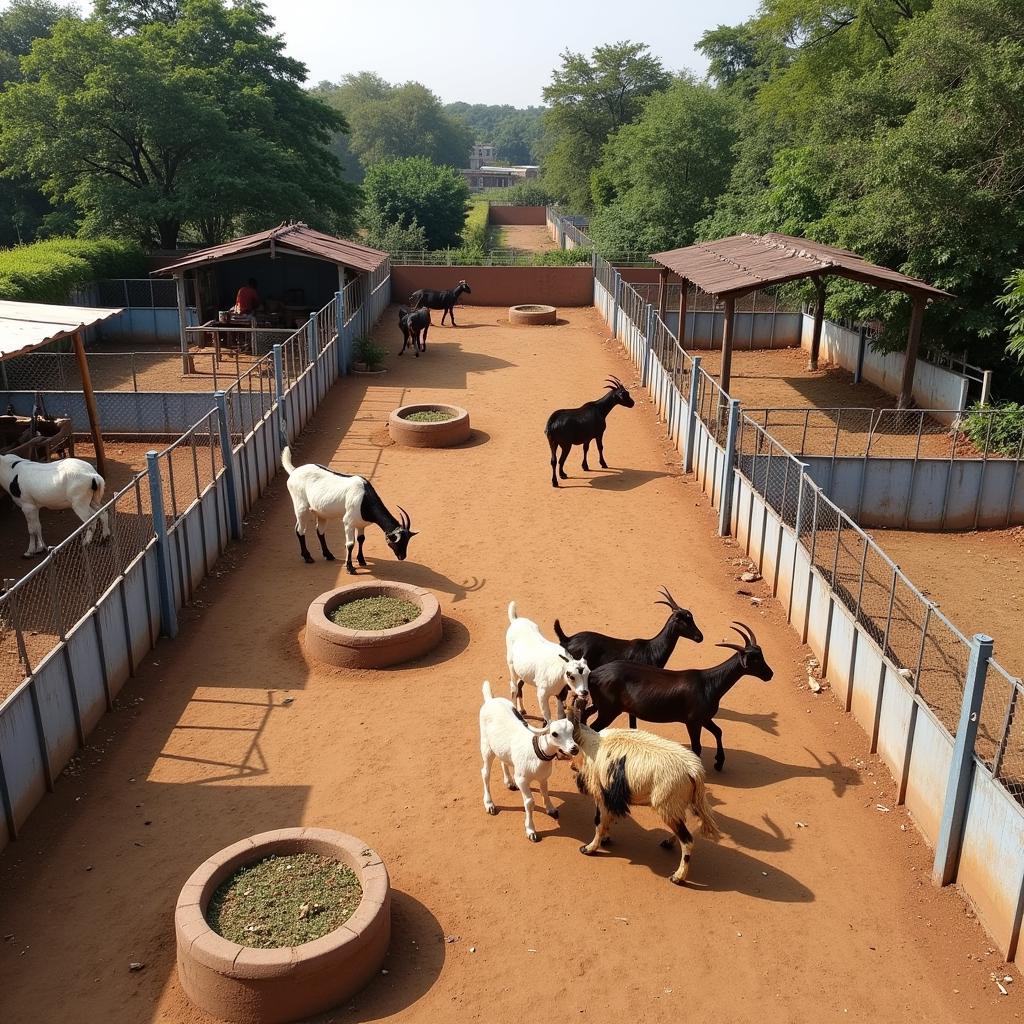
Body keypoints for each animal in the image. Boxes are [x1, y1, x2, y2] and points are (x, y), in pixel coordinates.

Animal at [280, 448, 415, 577]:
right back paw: (307, 557)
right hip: (300, 506)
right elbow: (350, 544)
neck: (364, 498)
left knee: (320, 532)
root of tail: (294, 471)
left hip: (321, 513)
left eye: (407, 540)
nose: (402, 556)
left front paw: (361, 560)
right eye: (397, 541)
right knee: (300, 530)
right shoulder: (348, 522)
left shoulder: (360, 523)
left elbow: (361, 539)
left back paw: (328, 555)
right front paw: (350, 568)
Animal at [477, 679, 581, 839]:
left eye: (571, 730)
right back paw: (489, 804)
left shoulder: (543, 777)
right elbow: (529, 802)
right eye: (554, 734)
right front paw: (531, 830)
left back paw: (509, 782)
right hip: (486, 747)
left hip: (500, 747)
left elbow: (545, 791)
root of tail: (490, 700)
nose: (574, 749)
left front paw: (551, 809)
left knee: (503, 760)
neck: (536, 752)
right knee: (485, 773)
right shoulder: (522, 779)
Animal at [569, 700, 720, 884]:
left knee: (688, 840)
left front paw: (590, 848)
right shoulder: (611, 796)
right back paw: (668, 843)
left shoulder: (601, 793)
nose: (571, 765)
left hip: (667, 806)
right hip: (677, 805)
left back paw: (678, 876)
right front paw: (605, 838)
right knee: (684, 827)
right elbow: (606, 819)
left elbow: (598, 821)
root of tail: (694, 771)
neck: (592, 744)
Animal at [581, 614, 770, 774]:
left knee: (584, 716)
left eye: (761, 654)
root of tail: (594, 674)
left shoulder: (704, 718)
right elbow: (697, 747)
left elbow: (718, 731)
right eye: (754, 659)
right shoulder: (693, 722)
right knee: (592, 728)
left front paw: (719, 762)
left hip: (600, 705)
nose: (770, 674)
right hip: (608, 711)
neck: (709, 683)